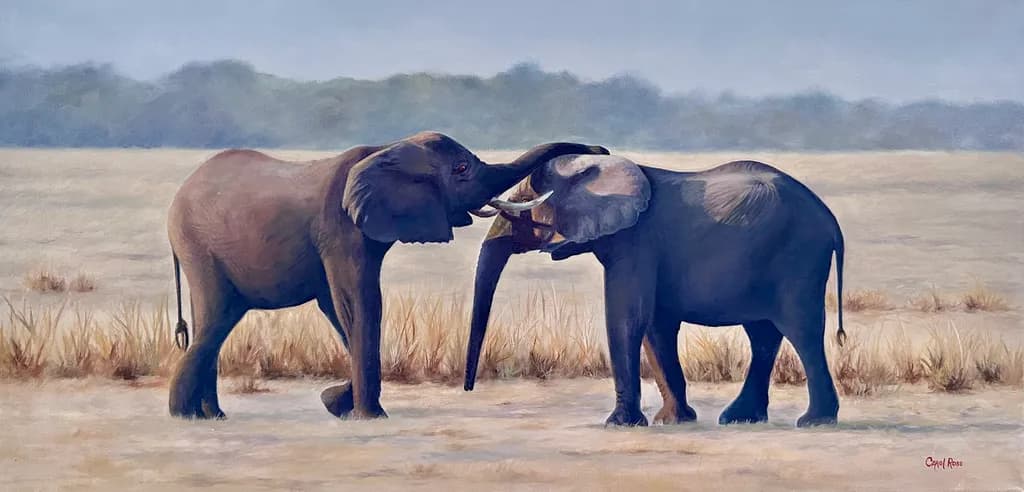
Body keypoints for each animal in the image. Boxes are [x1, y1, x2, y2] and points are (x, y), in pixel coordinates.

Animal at [167, 131, 608, 419]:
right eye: (461, 168)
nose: (598, 149)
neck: (387, 150)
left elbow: (340, 309)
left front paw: (336, 403)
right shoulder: (340, 229)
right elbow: (358, 302)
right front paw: (368, 416)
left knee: (213, 321)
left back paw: (210, 416)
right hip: (199, 247)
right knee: (219, 317)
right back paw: (186, 415)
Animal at [463, 154, 847, 428]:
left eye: (525, 201)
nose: (468, 389)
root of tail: (831, 222)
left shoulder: (636, 242)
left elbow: (627, 317)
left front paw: (619, 425)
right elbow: (654, 326)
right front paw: (673, 421)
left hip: (798, 257)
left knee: (801, 330)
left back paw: (814, 422)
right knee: (763, 335)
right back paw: (740, 419)